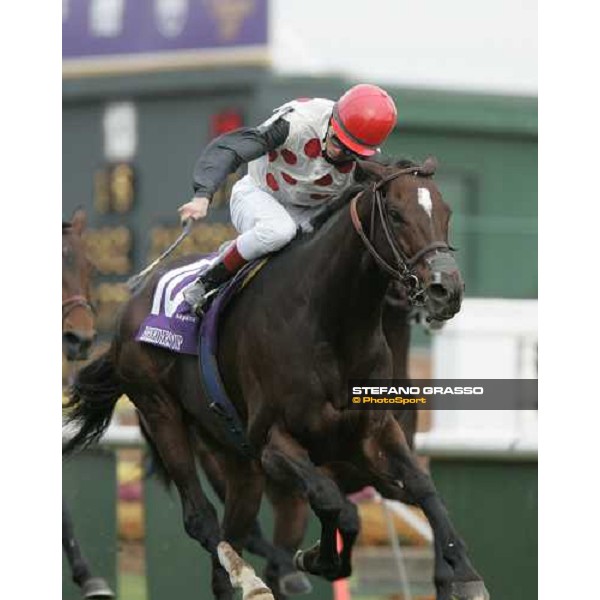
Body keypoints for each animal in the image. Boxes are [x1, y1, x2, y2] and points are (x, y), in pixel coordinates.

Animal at [63, 161, 490, 600]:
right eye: (395, 213)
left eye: (446, 212)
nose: (446, 289)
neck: (332, 324)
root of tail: (130, 304)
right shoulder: (276, 444)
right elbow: (333, 502)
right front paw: (316, 558)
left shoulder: (374, 434)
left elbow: (422, 487)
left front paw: (462, 573)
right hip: (162, 413)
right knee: (202, 519)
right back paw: (250, 578)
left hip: (237, 459)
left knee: (232, 537)